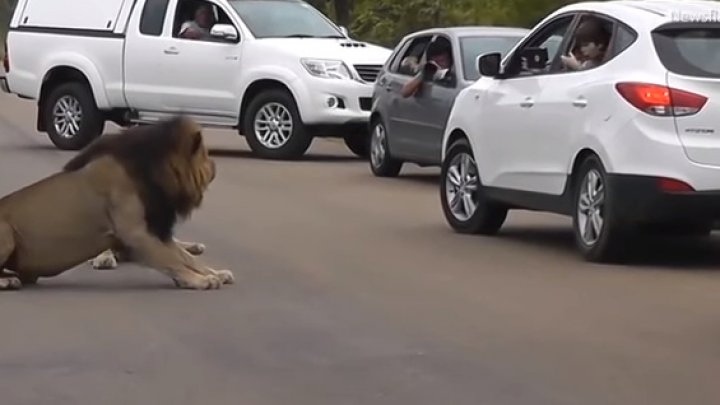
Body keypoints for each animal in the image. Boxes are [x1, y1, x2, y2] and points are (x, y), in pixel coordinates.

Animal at [0, 115, 233, 288]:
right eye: (206, 155)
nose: (215, 165)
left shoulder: (155, 230)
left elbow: (186, 258)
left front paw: (216, 273)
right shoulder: (136, 233)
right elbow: (172, 261)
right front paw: (201, 280)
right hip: (7, 233)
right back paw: (9, 281)